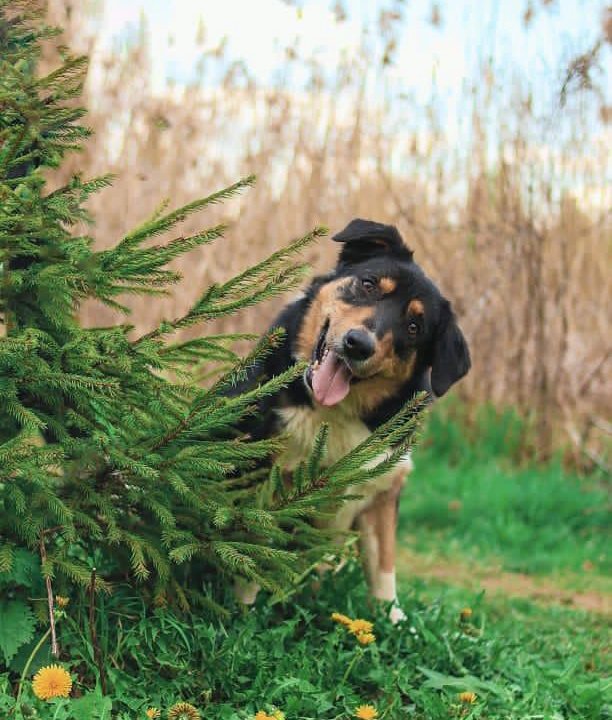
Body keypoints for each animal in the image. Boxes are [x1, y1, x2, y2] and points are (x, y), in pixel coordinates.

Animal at [233, 219, 468, 620]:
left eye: (414, 327)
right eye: (368, 284)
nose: (358, 344)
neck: (335, 414)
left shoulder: (382, 492)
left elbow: (383, 568)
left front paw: (392, 622)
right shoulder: (266, 477)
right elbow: (253, 554)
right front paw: (239, 614)